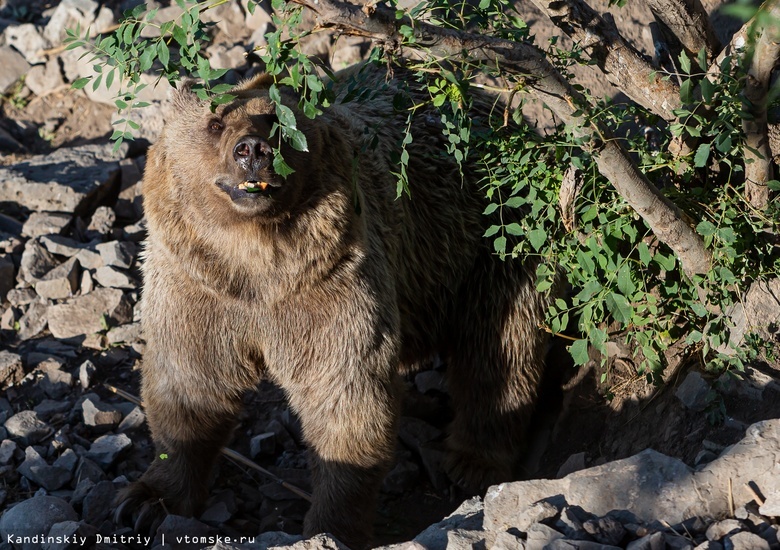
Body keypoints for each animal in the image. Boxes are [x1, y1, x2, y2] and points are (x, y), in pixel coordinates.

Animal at [117, 63, 556, 548]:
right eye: (214, 123)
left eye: (278, 119)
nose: (252, 150)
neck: (255, 264)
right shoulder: (199, 288)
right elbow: (189, 386)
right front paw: (146, 503)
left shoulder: (330, 283)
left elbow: (345, 394)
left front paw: (331, 525)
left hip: (496, 239)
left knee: (498, 347)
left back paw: (472, 462)